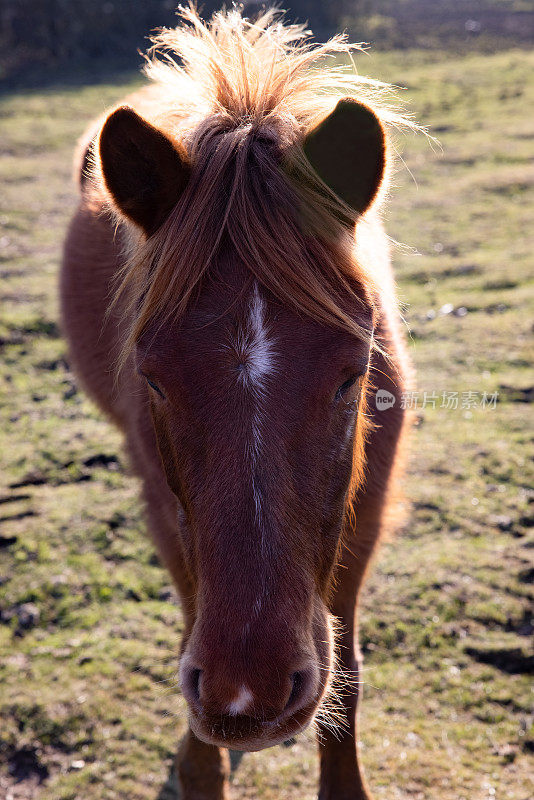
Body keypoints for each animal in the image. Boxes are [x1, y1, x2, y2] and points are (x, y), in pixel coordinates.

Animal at [59, 7, 418, 800]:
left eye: (352, 373)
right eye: (153, 378)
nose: (247, 697)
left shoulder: (366, 512)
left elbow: (346, 669)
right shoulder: (167, 511)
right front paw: (201, 764)